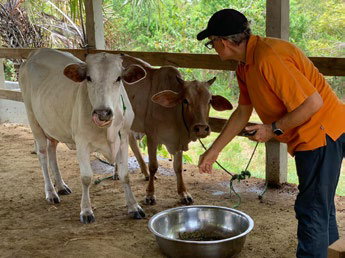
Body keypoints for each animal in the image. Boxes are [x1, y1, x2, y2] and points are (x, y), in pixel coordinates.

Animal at [19, 49, 145, 224]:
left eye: (118, 78)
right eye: (89, 78)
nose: (102, 112)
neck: (108, 130)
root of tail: (35, 53)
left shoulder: (124, 139)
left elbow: (125, 175)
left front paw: (134, 207)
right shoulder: (82, 143)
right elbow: (86, 177)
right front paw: (86, 211)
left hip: (53, 125)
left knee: (52, 151)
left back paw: (61, 186)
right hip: (33, 119)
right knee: (42, 154)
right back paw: (51, 192)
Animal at [122, 55, 232, 205]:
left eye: (209, 101)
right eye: (185, 100)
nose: (201, 128)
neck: (174, 114)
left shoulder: (178, 141)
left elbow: (178, 168)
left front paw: (183, 193)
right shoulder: (152, 137)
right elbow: (154, 166)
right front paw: (150, 194)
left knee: (130, 141)